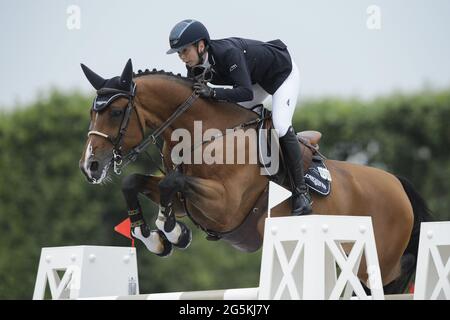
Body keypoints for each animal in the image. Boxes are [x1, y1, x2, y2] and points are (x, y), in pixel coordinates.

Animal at [79, 58, 430, 294]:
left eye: (115, 112)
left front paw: (172, 232)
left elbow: (171, 182)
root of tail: (398, 184)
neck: (205, 133)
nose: (90, 167)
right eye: (92, 112)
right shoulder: (186, 201)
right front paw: (152, 237)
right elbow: (136, 183)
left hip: (376, 265)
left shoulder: (225, 206)